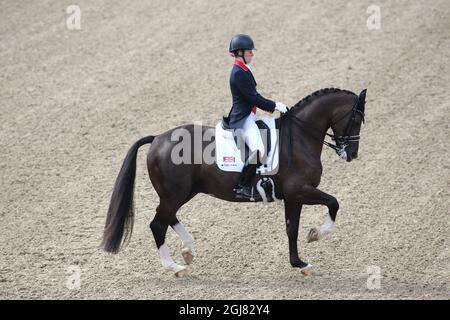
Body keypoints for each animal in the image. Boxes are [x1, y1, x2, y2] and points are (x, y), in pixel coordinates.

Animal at [101, 88, 366, 278]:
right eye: (356, 118)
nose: (351, 154)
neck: (298, 137)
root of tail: (157, 139)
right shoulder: (299, 191)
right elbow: (333, 203)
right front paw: (315, 236)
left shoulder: (293, 196)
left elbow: (292, 229)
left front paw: (300, 263)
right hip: (174, 194)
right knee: (157, 224)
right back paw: (176, 267)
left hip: (183, 193)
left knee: (167, 218)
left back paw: (188, 250)